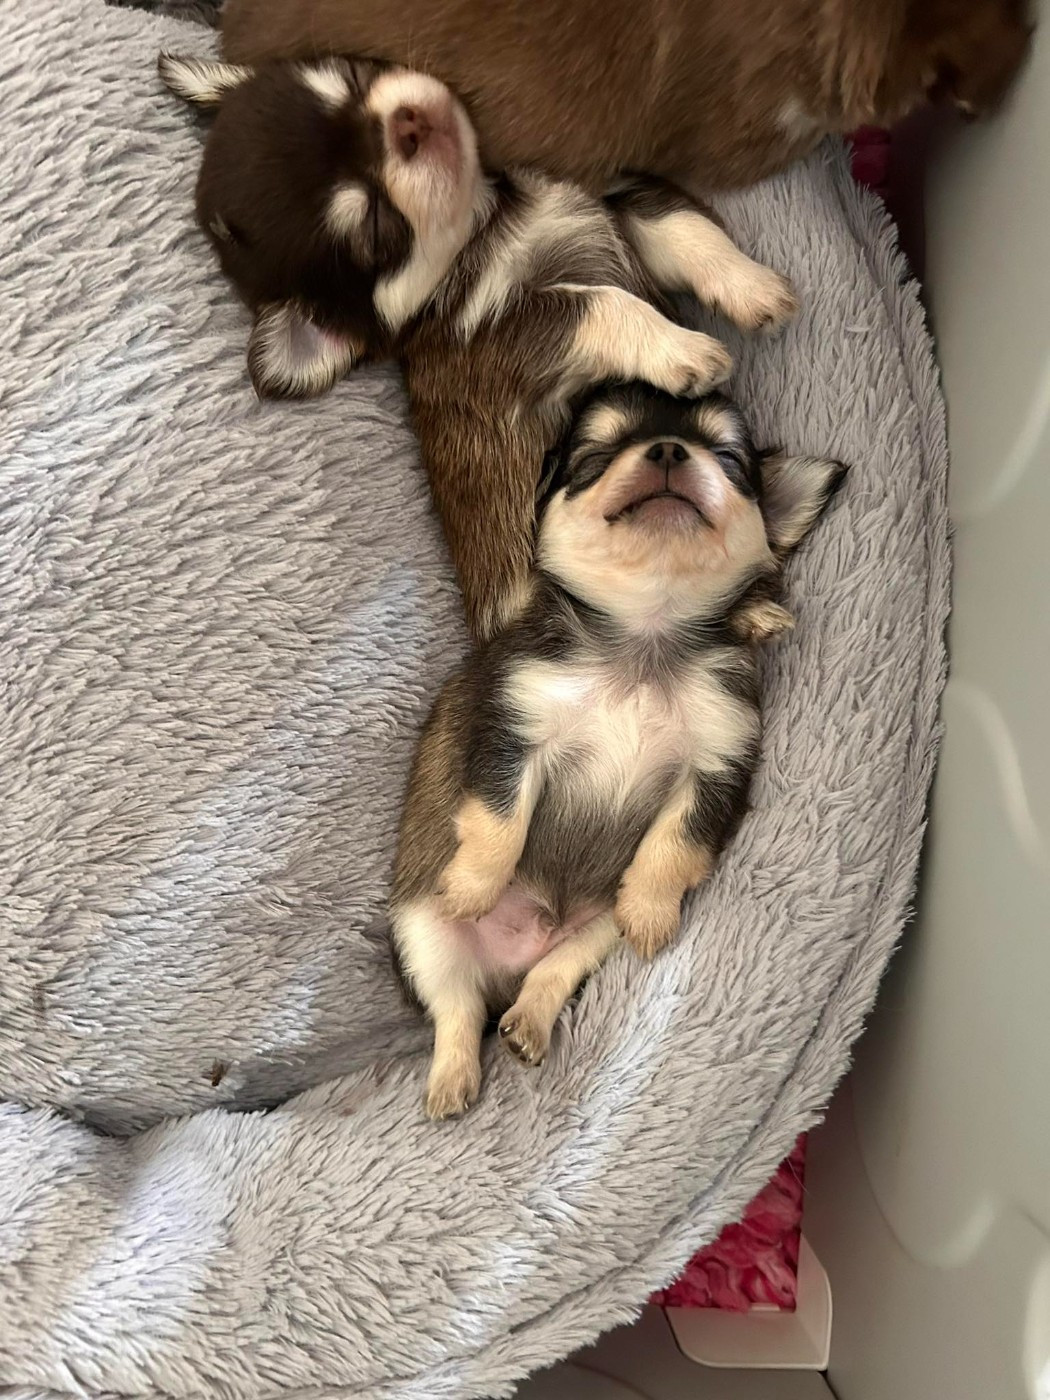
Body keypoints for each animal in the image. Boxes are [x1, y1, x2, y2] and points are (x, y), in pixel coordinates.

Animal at [159, 54, 799, 640]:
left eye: (350, 80)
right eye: (375, 226)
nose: (408, 123)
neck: (490, 215)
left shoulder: (606, 195)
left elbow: (678, 225)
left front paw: (750, 286)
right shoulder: (496, 339)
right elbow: (599, 303)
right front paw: (679, 348)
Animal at [389, 381, 847, 1119]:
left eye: (730, 460)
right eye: (595, 457)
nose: (668, 450)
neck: (643, 638)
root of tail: (519, 952)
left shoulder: (717, 761)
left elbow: (675, 846)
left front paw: (652, 914)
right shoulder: (513, 731)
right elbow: (498, 823)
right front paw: (474, 884)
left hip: (592, 932)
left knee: (548, 973)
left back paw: (528, 1021)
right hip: (420, 935)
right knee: (455, 1011)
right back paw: (451, 1080)